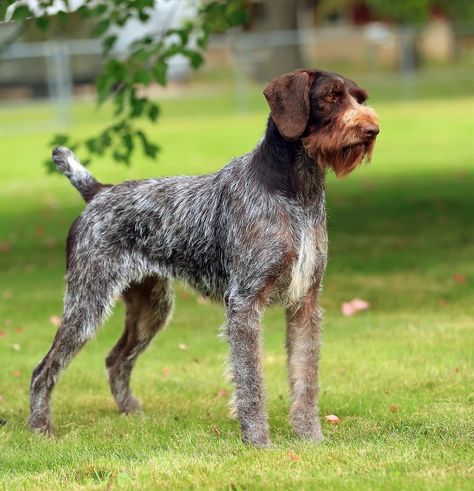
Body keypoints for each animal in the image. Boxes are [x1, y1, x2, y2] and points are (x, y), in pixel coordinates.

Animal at [29, 67, 380, 448]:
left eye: (361, 98)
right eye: (330, 97)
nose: (372, 129)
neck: (297, 192)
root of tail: (98, 191)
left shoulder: (305, 302)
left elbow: (305, 377)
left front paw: (309, 438)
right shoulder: (244, 303)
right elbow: (251, 381)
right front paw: (258, 442)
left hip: (151, 308)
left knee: (115, 359)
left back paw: (131, 414)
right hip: (86, 303)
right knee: (43, 370)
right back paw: (40, 429)